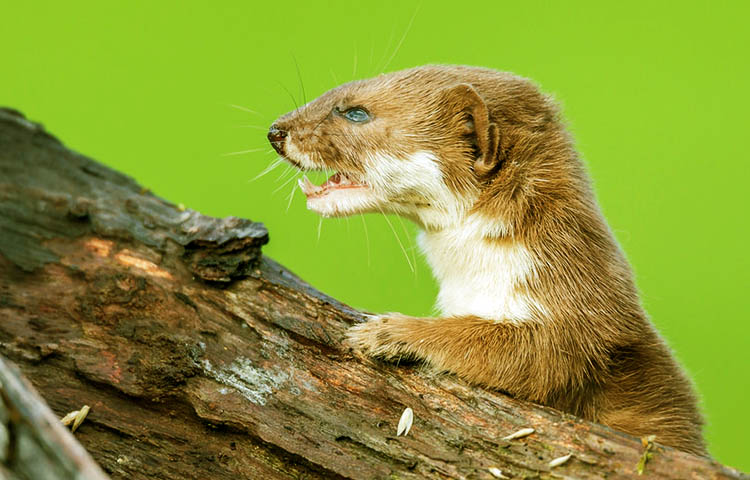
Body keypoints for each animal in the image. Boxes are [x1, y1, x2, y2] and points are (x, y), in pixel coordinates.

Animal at [268, 65, 708, 456]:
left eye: (356, 111)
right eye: (341, 87)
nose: (276, 130)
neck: (469, 281)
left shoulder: (579, 322)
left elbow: (514, 350)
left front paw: (387, 332)